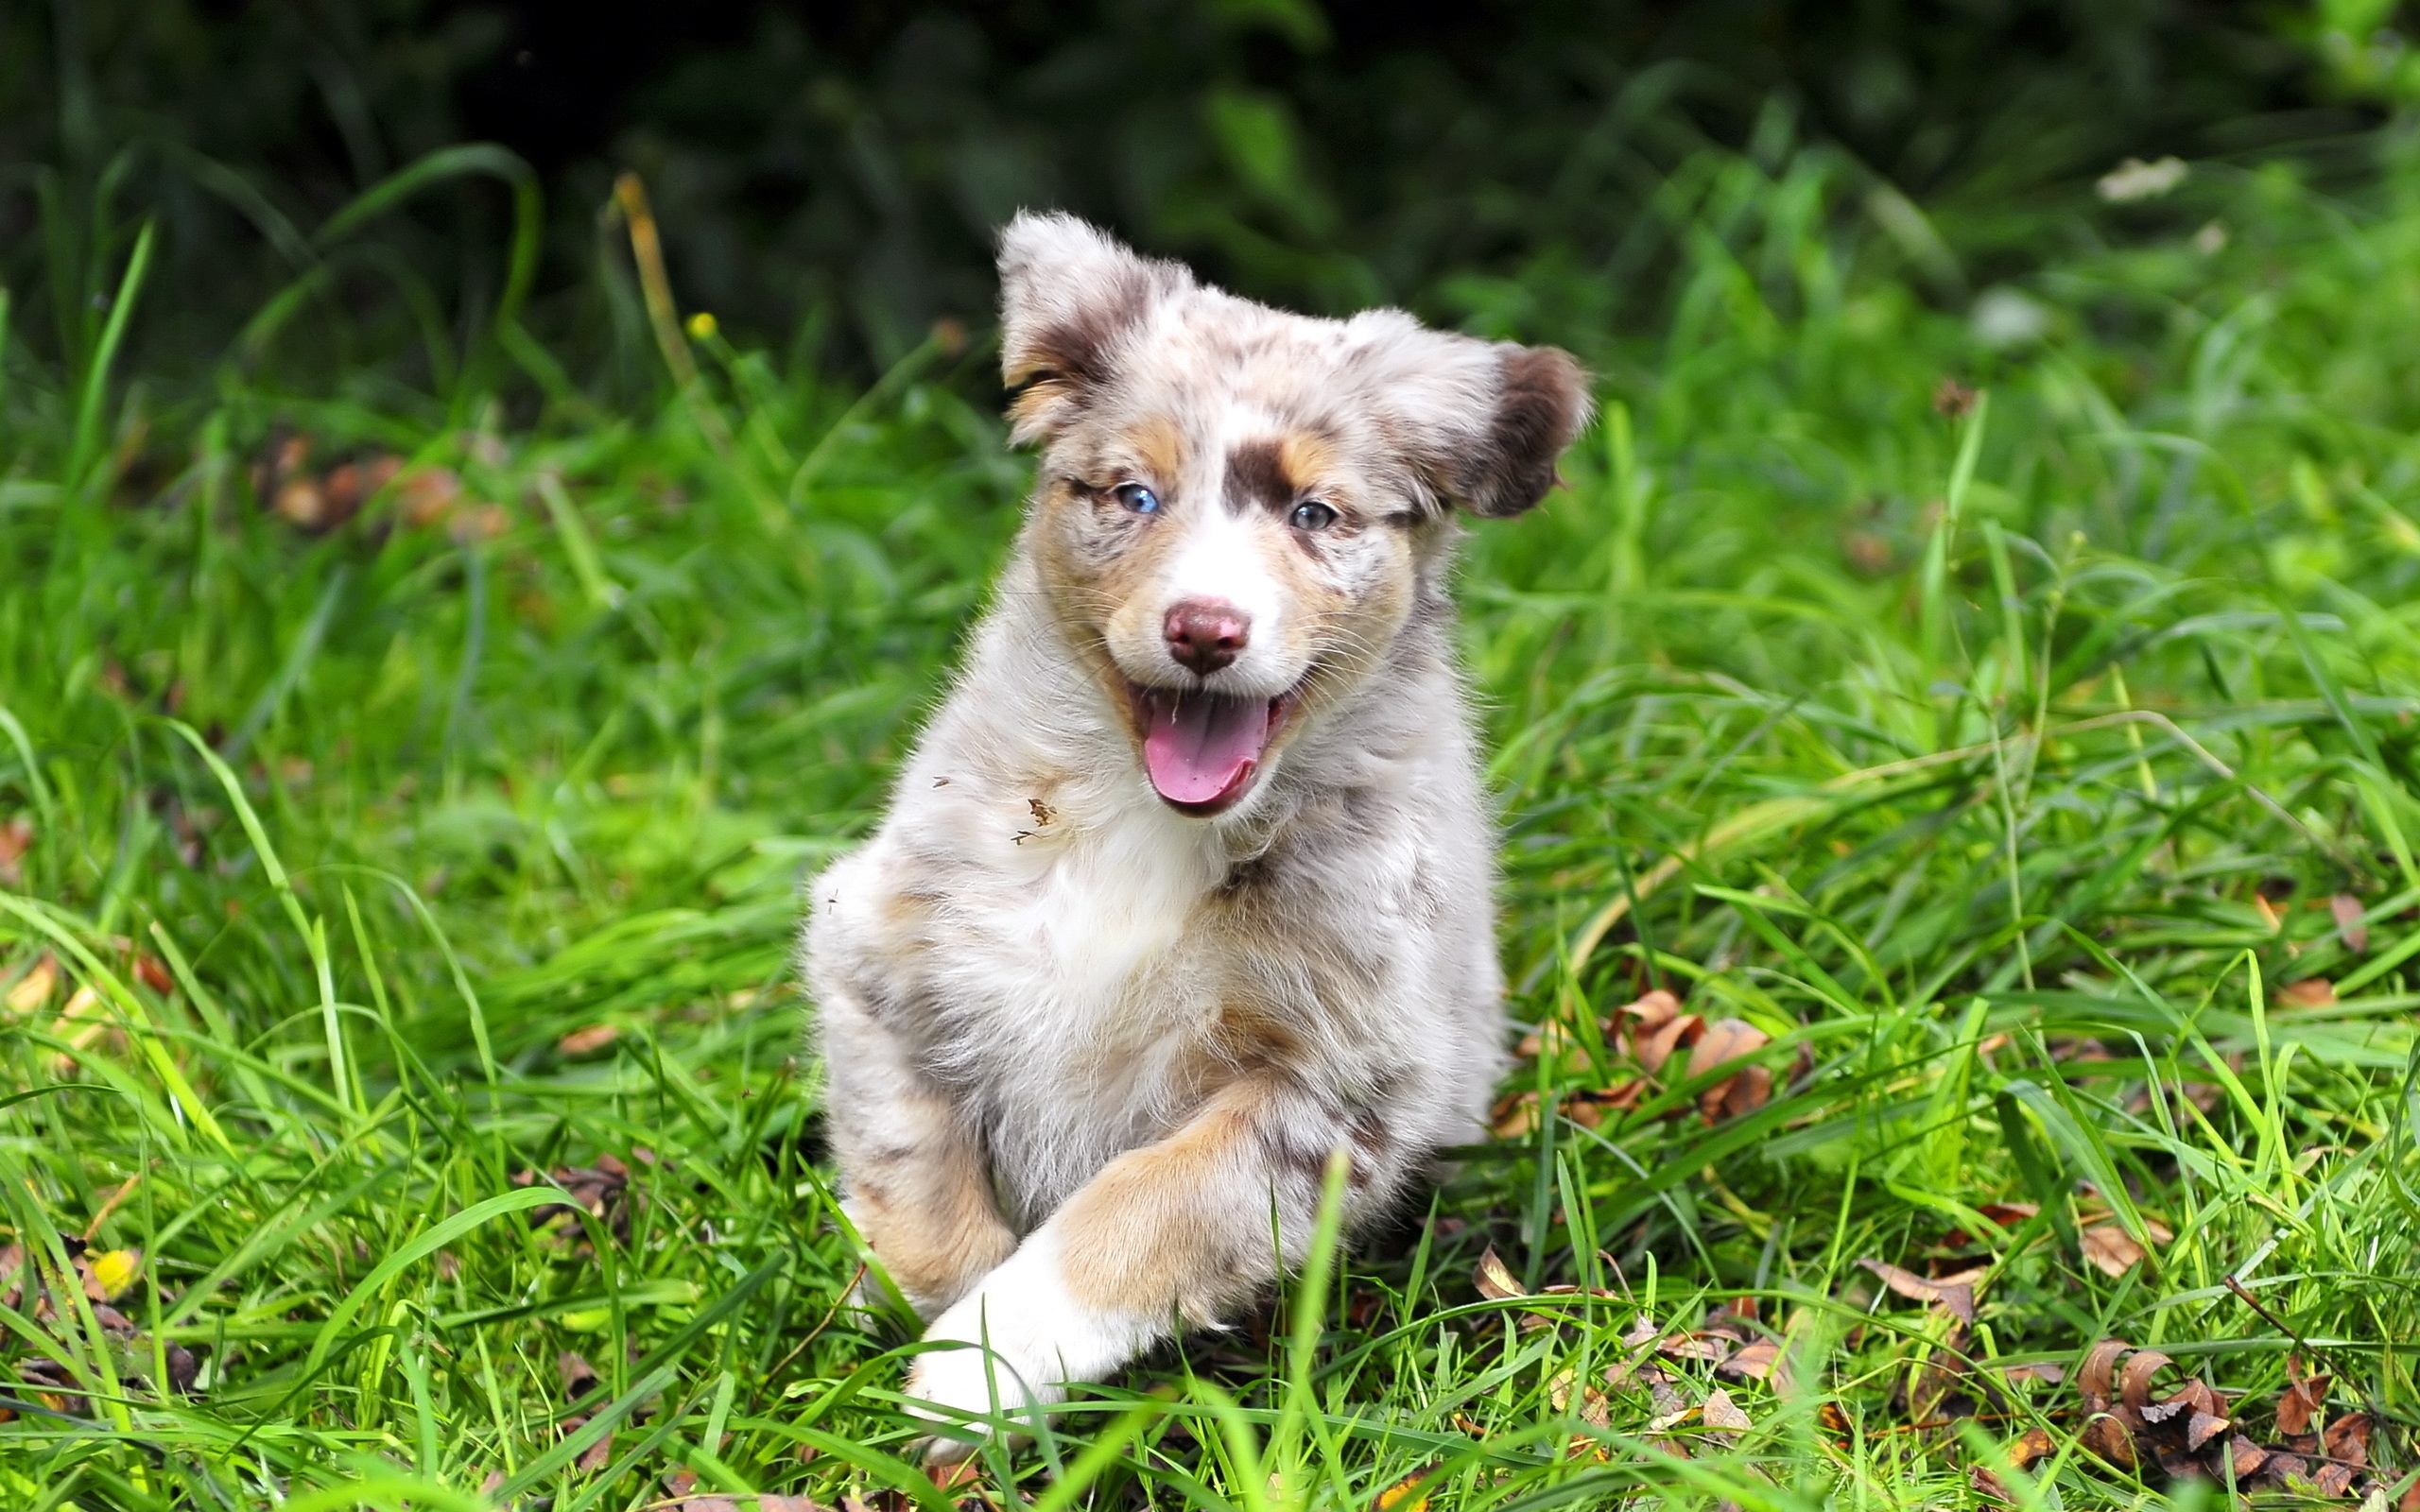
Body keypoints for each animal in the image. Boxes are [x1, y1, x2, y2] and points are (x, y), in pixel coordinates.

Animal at [803, 209, 1578, 1441]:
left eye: (1314, 515)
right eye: (1133, 496)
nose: (1205, 629)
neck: (1138, 821)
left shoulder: (1328, 1085)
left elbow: (1142, 1208)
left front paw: (980, 1367)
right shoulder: (875, 940)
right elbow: (909, 1160)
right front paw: (936, 1327)